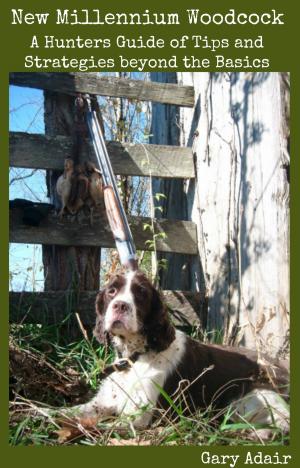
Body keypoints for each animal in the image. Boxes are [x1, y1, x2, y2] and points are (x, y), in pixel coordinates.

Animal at [55, 270, 288, 436]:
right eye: (112, 291)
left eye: (141, 293)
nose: (120, 305)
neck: (136, 357)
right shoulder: (102, 403)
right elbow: (65, 413)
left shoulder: (138, 418)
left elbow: (91, 425)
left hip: (253, 397)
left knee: (283, 423)